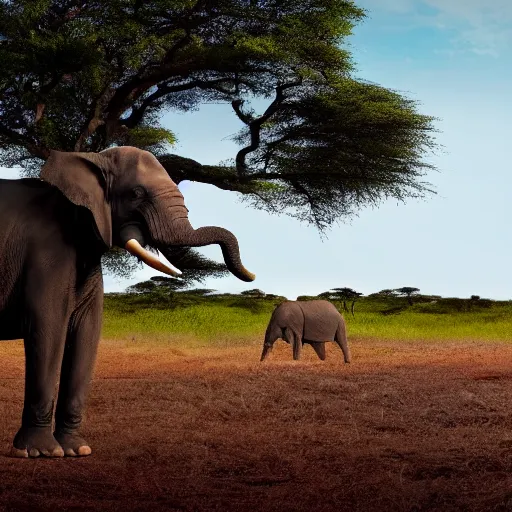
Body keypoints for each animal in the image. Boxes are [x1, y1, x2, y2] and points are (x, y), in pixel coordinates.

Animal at [0, 146, 256, 458]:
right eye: (136, 194)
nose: (252, 275)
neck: (93, 158)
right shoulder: (45, 253)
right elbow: (48, 330)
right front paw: (40, 453)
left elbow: (87, 333)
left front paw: (77, 450)